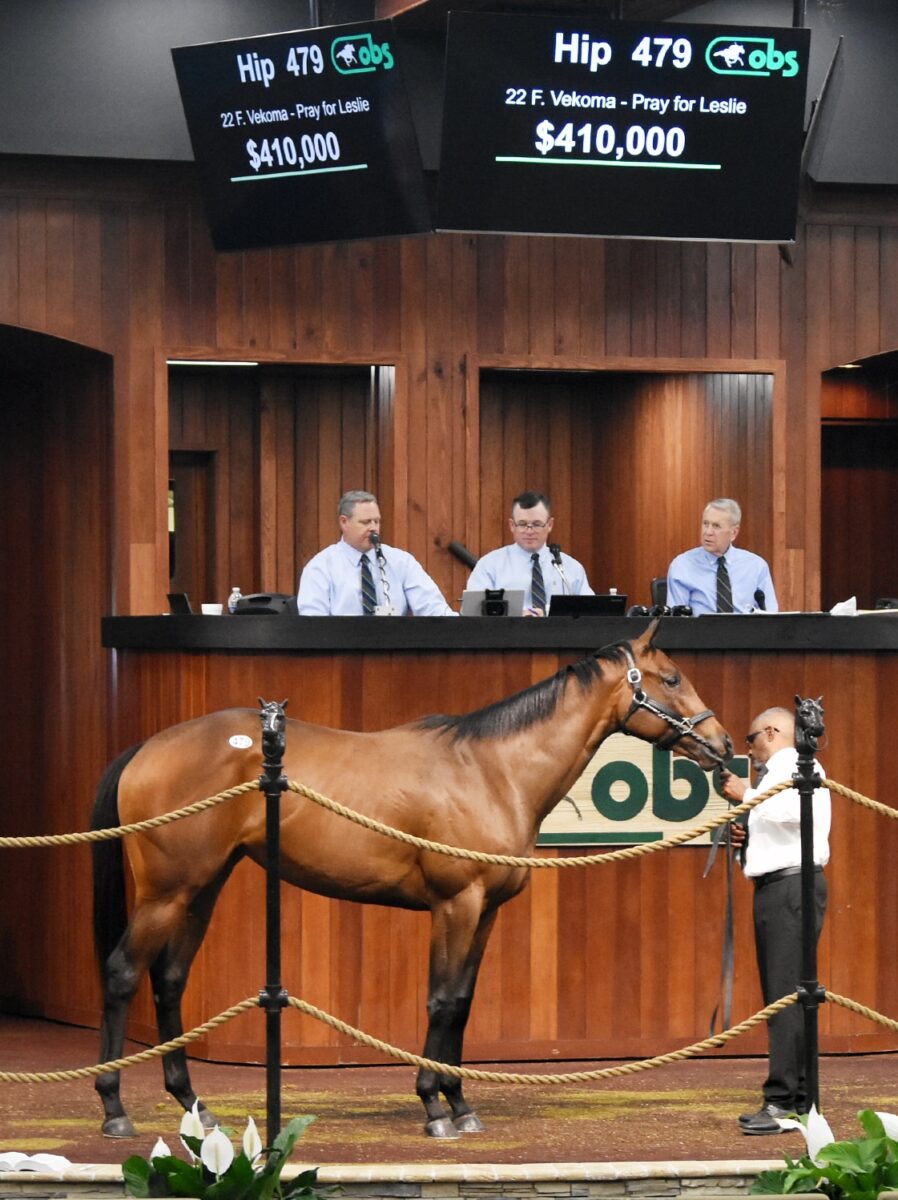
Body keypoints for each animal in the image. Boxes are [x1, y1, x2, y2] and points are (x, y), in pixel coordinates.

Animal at [93, 624, 729, 1137]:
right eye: (672, 677)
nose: (722, 743)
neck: (492, 771)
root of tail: (146, 747)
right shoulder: (456, 904)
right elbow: (441, 999)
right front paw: (433, 1107)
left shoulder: (486, 911)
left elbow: (464, 1003)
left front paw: (461, 1103)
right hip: (166, 894)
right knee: (123, 973)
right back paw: (114, 1109)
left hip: (202, 888)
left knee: (169, 979)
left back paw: (193, 1105)